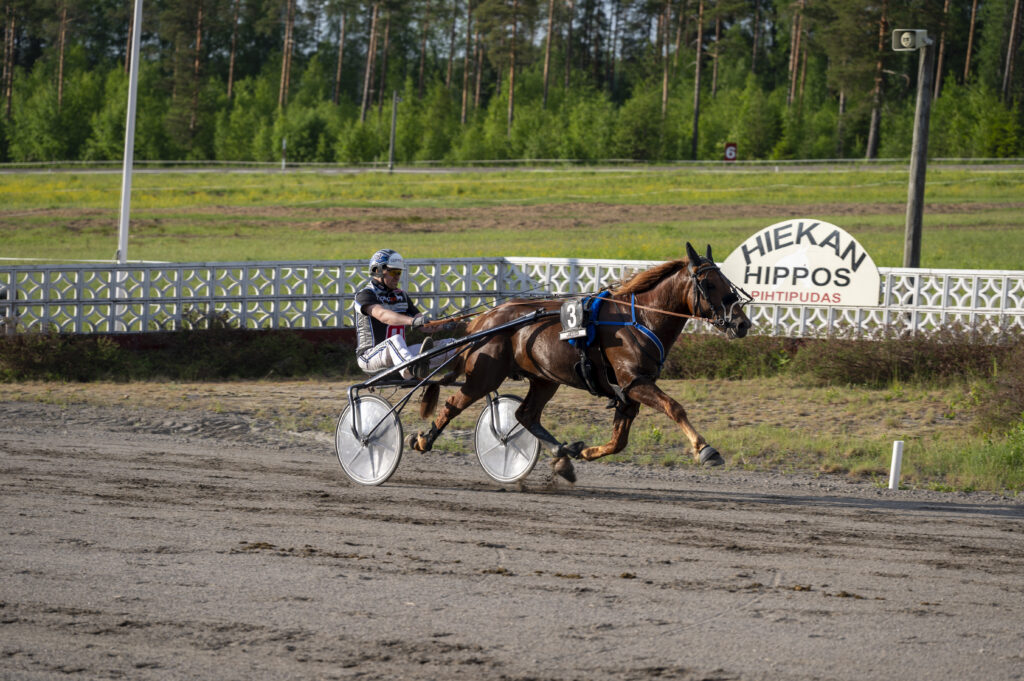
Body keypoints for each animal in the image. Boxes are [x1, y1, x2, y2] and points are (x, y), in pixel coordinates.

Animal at [409, 241, 753, 481]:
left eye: (728, 283)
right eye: (709, 284)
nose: (742, 324)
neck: (639, 318)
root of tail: (484, 320)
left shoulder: (629, 391)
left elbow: (619, 441)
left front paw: (585, 451)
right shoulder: (634, 382)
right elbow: (674, 407)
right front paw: (706, 450)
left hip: (544, 378)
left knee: (525, 415)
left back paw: (563, 452)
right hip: (485, 374)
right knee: (454, 403)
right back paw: (424, 440)